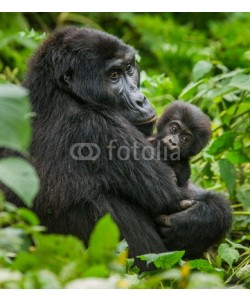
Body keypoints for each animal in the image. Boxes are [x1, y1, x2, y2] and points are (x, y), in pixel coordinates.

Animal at [2, 27, 232, 268]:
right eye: (113, 75)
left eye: (129, 68)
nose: (140, 100)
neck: (59, 92)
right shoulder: (101, 128)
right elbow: (173, 195)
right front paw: (204, 218)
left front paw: (200, 219)